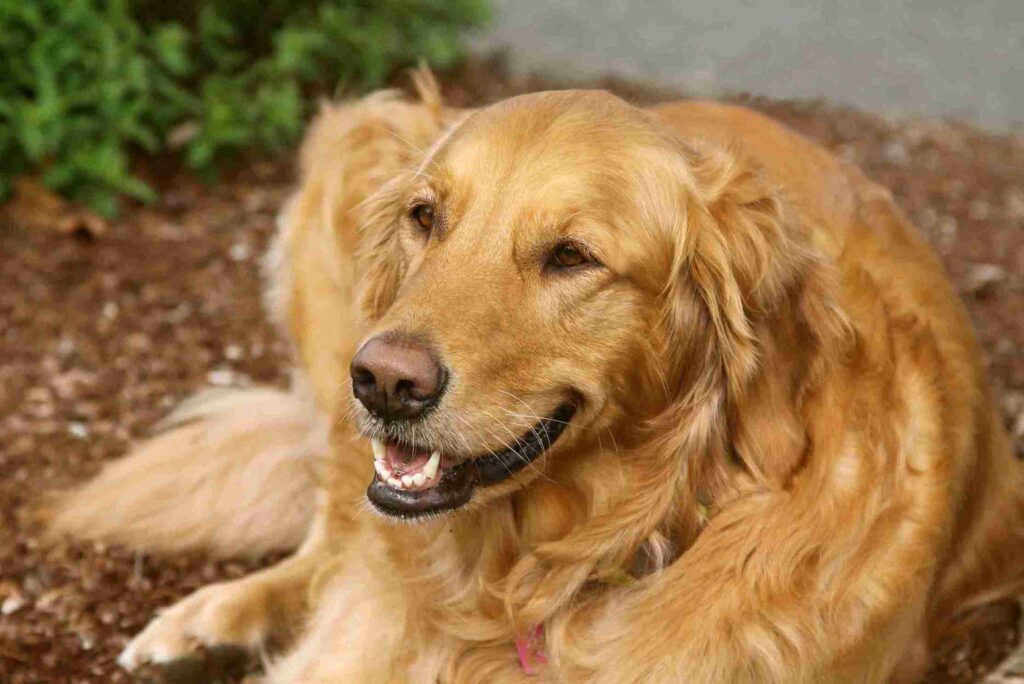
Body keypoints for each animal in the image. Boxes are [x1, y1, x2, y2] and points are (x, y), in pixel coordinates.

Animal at [49, 72, 1024, 679]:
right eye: (425, 217)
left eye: (571, 257)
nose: (384, 380)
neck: (538, 580)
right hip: (357, 136)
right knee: (335, 530)